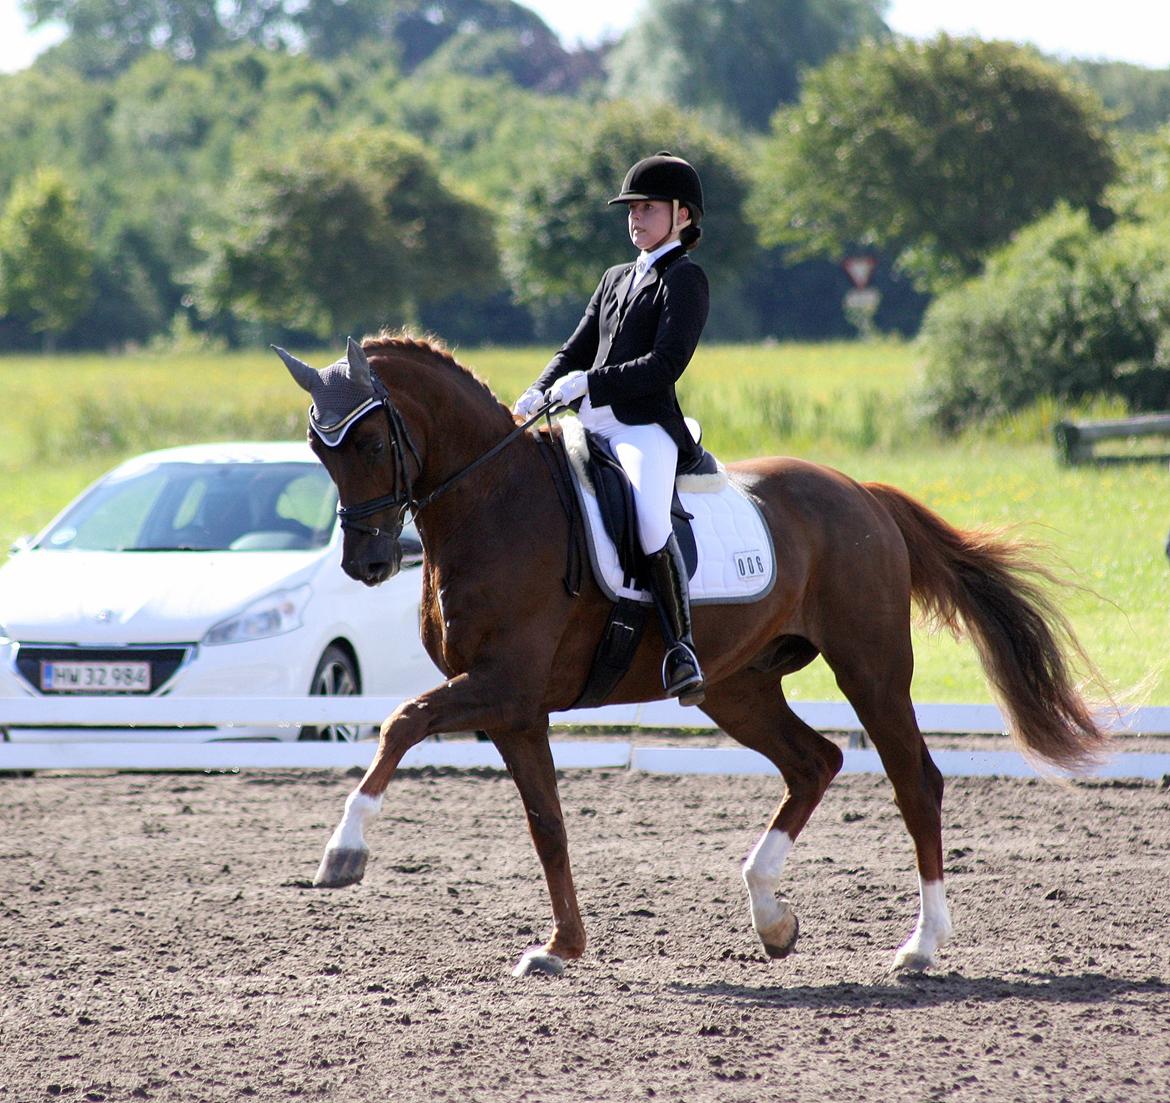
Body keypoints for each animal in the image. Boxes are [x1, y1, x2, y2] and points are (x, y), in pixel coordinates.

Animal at [273, 334, 1104, 973]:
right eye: (319, 448)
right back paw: (771, 914)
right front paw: (561, 947)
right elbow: (548, 825)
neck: (493, 502)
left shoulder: (502, 685)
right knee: (815, 761)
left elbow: (401, 722)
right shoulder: (515, 709)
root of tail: (862, 493)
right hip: (737, 687)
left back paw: (921, 945)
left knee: (915, 782)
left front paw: (343, 852)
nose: (366, 563)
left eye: (372, 441)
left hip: (870, 668)